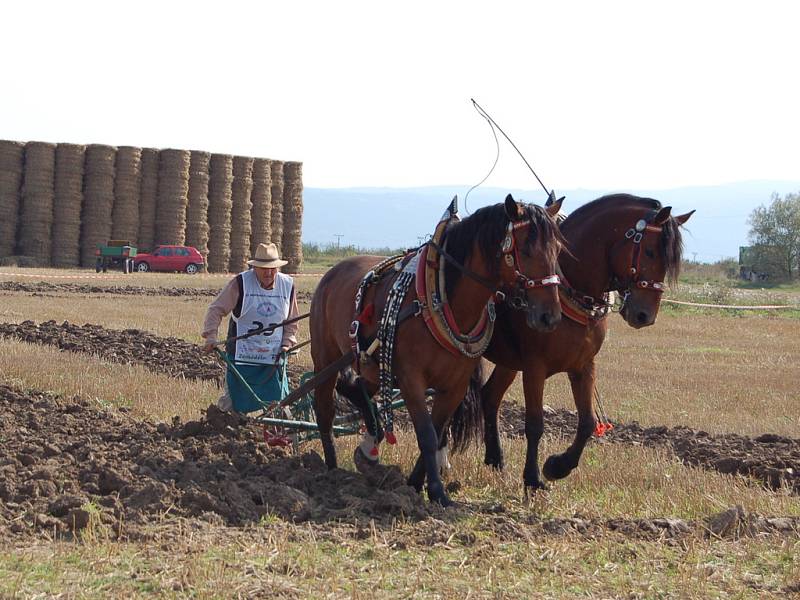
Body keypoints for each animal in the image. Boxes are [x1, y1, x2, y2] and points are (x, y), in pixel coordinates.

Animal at [310, 197, 564, 506]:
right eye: (526, 249)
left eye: (558, 250)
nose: (549, 316)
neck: (443, 299)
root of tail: (331, 273)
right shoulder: (411, 380)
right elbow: (427, 435)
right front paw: (436, 490)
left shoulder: (454, 386)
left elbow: (437, 429)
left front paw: (419, 484)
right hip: (325, 359)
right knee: (325, 411)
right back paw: (330, 470)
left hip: (371, 363)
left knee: (354, 388)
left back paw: (370, 442)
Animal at [450, 192, 692, 492]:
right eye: (649, 251)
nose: (644, 315)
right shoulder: (534, 367)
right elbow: (534, 424)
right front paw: (533, 477)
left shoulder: (583, 365)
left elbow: (588, 422)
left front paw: (558, 466)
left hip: (508, 362)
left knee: (490, 396)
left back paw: (496, 458)